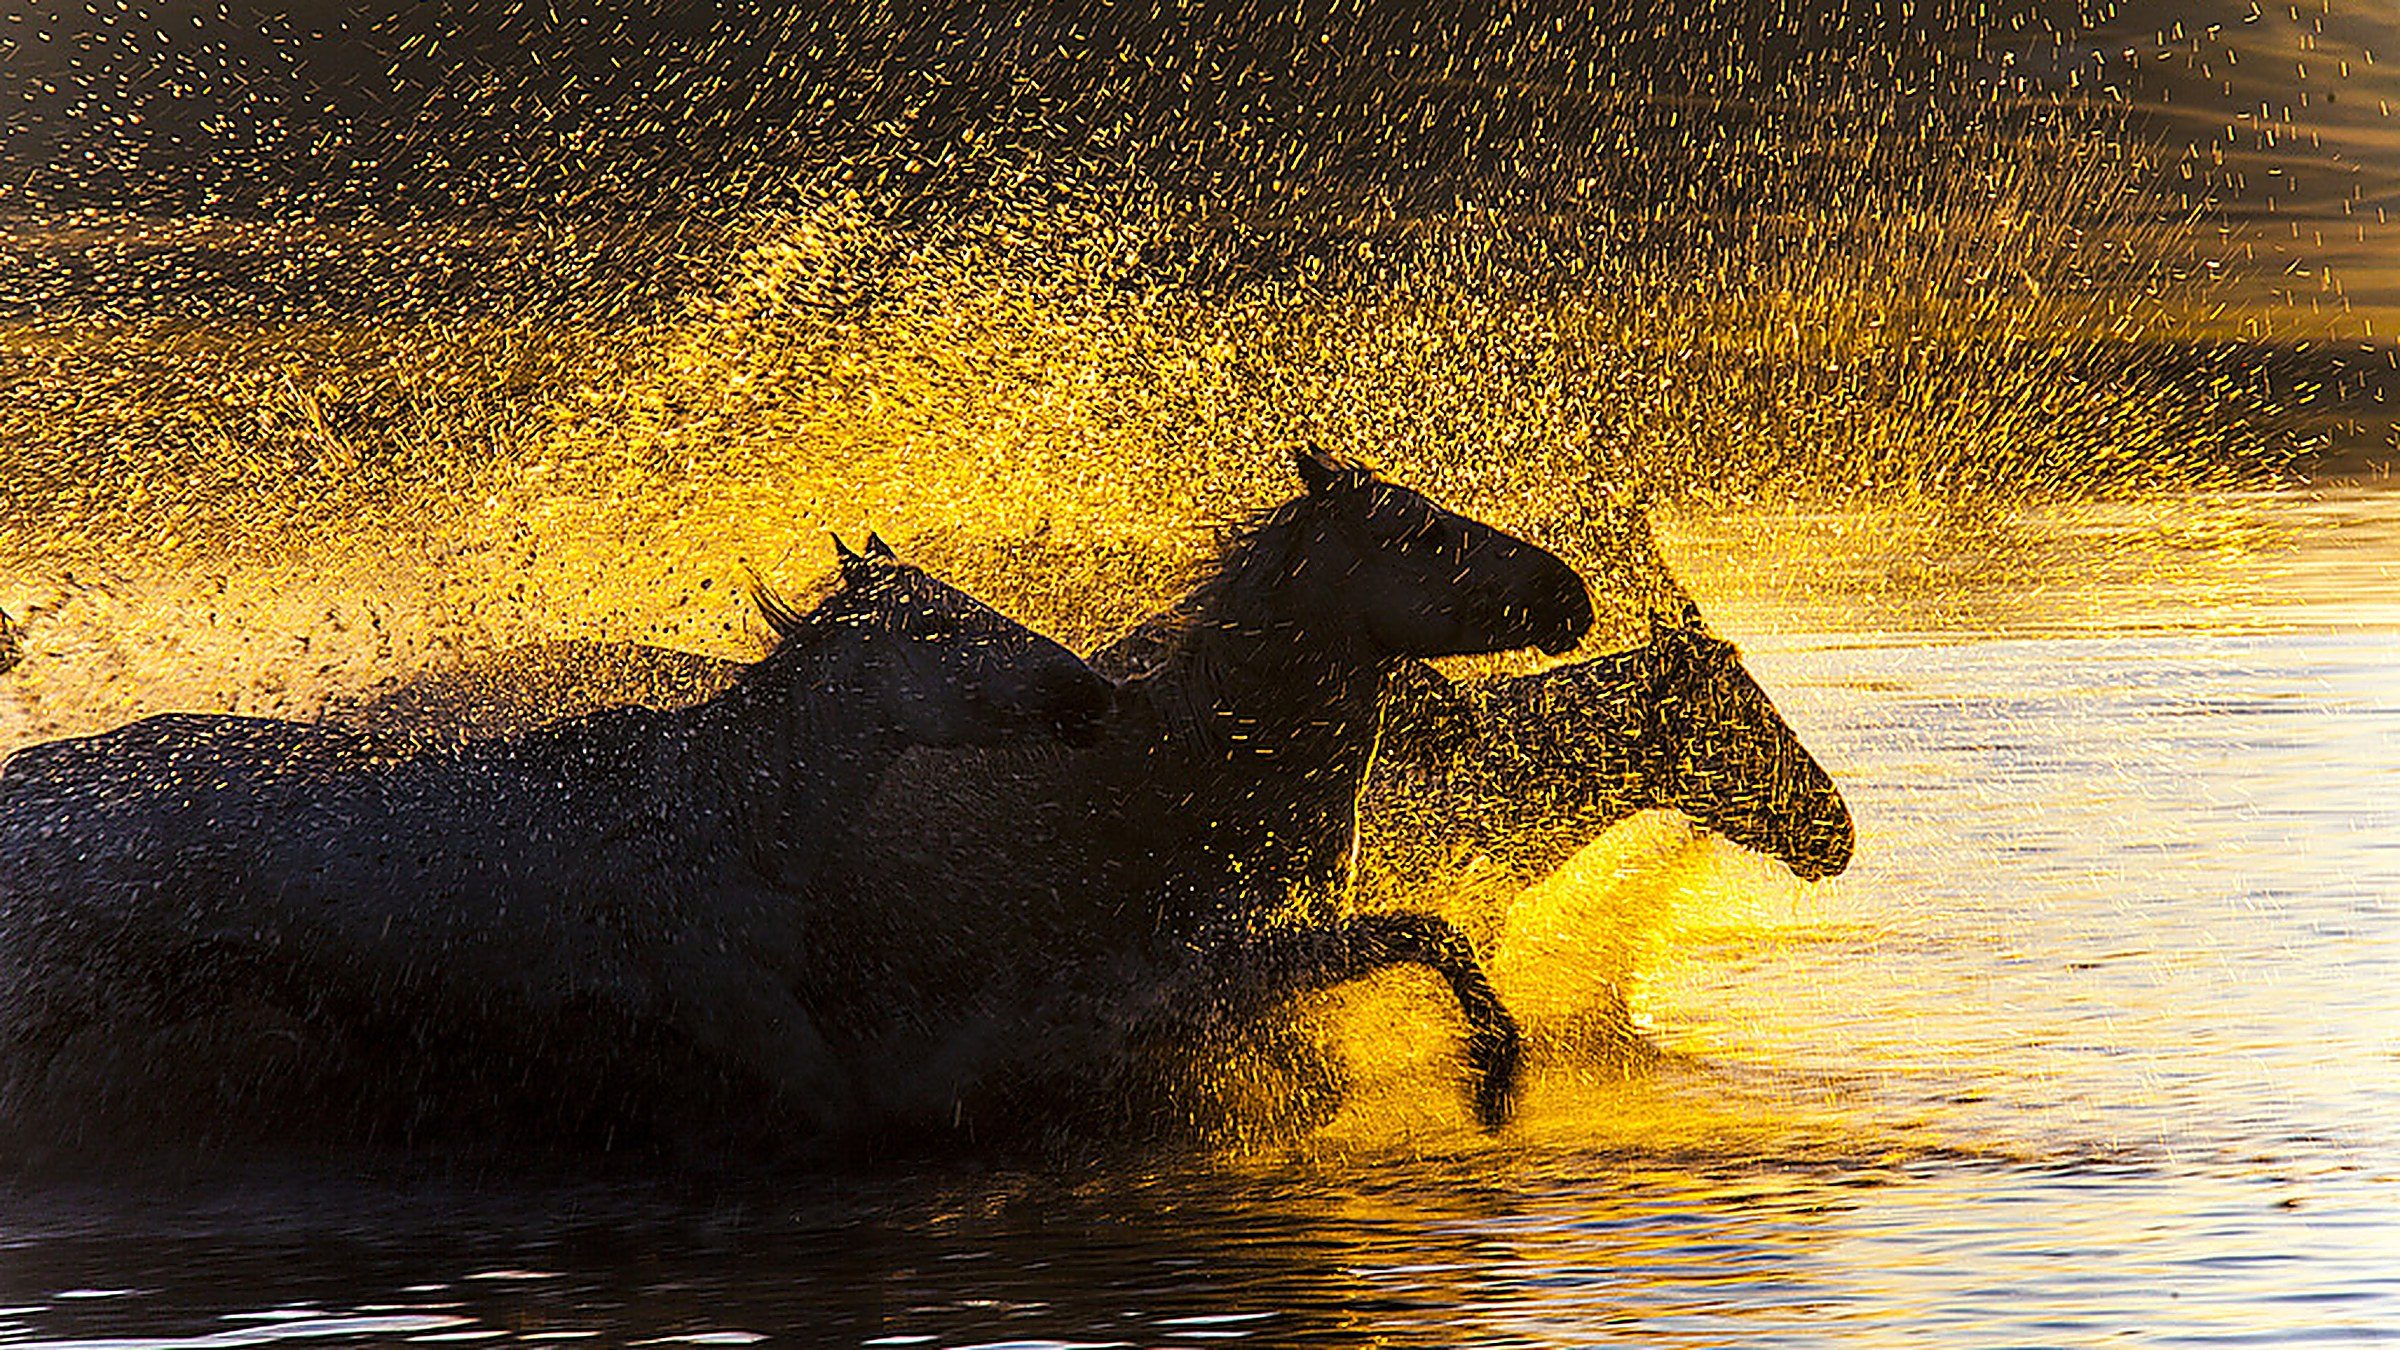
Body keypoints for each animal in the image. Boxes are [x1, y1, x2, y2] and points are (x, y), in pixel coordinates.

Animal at [0, 538, 1113, 1162]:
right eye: (940, 625)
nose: (1093, 694)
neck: (724, 808)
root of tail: (23, 784)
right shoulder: (729, 994)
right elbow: (842, 1112)